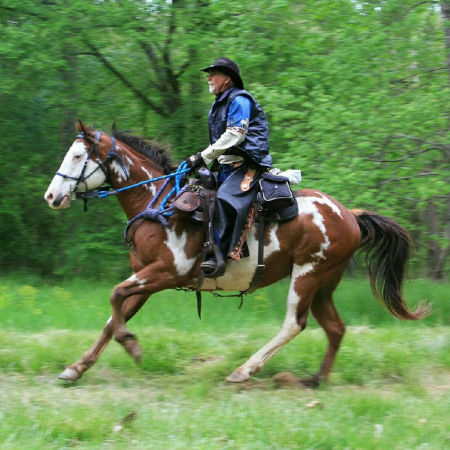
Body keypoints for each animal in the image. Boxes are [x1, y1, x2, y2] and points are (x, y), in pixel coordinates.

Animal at [44, 120, 428, 386]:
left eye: (77, 156)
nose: (51, 196)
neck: (159, 203)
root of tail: (349, 215)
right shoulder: (145, 278)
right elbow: (114, 316)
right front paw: (76, 368)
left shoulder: (164, 272)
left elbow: (115, 297)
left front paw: (132, 345)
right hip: (324, 284)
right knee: (335, 329)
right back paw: (315, 381)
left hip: (307, 276)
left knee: (295, 323)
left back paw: (244, 370)